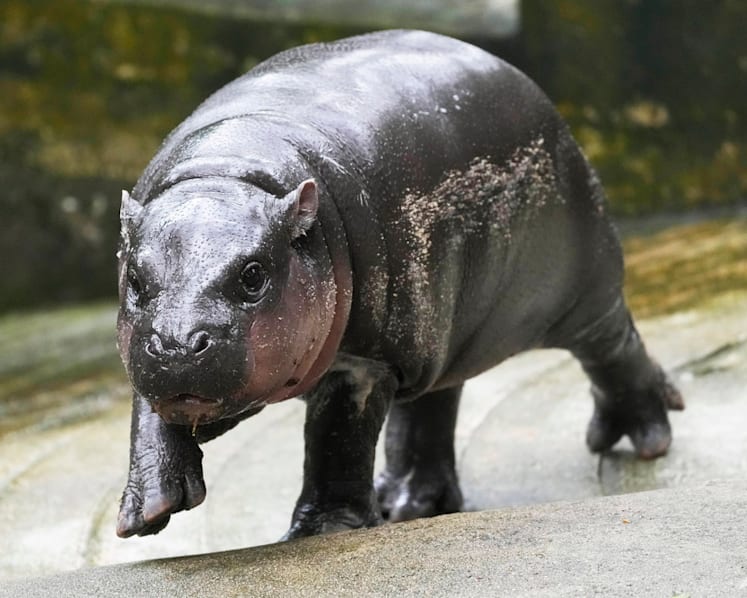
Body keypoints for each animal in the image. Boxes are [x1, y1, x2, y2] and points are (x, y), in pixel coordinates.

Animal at [116, 30, 683, 539]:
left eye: (253, 275)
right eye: (135, 279)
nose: (177, 346)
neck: (229, 173)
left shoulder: (368, 359)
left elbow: (338, 440)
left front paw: (323, 532)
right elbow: (148, 411)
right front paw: (147, 511)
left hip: (579, 290)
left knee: (613, 346)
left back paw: (642, 438)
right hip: (441, 331)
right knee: (431, 408)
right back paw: (408, 503)